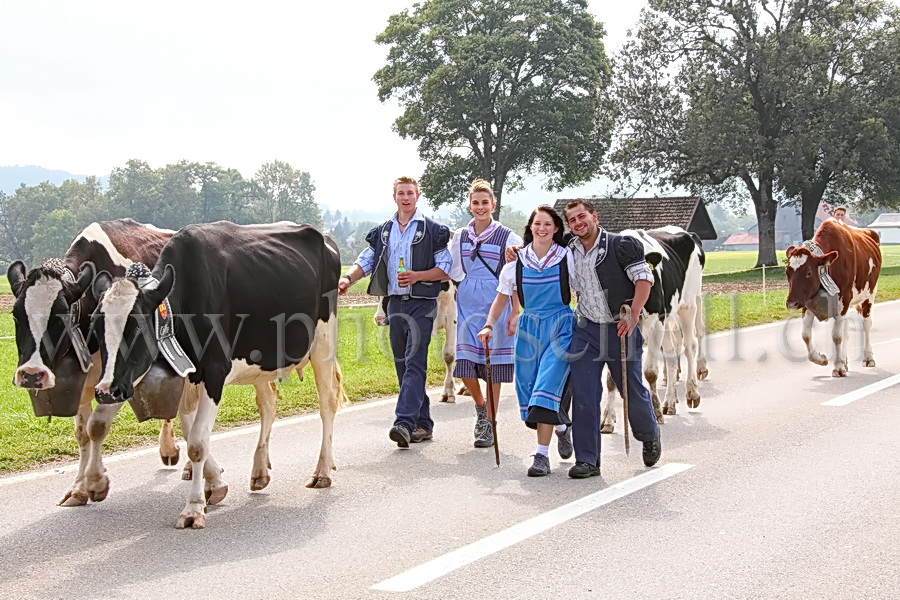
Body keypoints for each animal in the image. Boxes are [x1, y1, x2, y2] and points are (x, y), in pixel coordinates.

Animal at [91, 221, 344, 528]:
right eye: (95, 327)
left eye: (137, 328)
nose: (106, 391)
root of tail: (322, 236)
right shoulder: (183, 374)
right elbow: (186, 430)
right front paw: (215, 484)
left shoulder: (213, 371)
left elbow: (197, 442)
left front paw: (193, 508)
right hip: (262, 359)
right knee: (269, 404)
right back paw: (260, 472)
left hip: (323, 343)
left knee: (327, 403)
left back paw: (323, 471)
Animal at [600, 226, 708, 432]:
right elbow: (611, 378)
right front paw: (608, 419)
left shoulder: (656, 322)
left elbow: (650, 372)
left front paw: (655, 411)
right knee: (672, 354)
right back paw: (670, 402)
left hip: (688, 305)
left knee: (691, 345)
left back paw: (692, 392)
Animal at [788, 218, 880, 376]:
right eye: (787, 272)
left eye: (808, 273)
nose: (791, 303)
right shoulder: (807, 301)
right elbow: (805, 334)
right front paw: (821, 359)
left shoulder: (843, 299)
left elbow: (836, 336)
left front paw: (838, 367)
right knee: (846, 330)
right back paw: (845, 361)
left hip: (869, 295)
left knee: (866, 324)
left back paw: (868, 358)